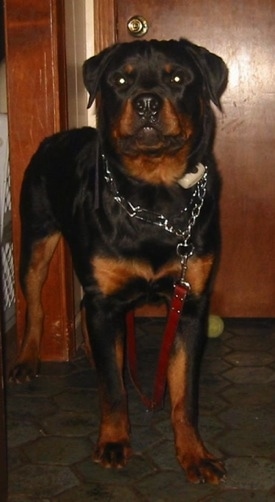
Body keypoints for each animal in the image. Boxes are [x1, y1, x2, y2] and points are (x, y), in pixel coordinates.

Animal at [10, 37, 229, 484]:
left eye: (177, 78)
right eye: (121, 80)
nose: (146, 103)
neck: (155, 200)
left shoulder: (191, 303)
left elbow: (184, 394)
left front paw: (194, 454)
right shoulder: (105, 300)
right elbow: (113, 389)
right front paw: (113, 441)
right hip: (36, 237)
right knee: (36, 302)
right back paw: (27, 358)